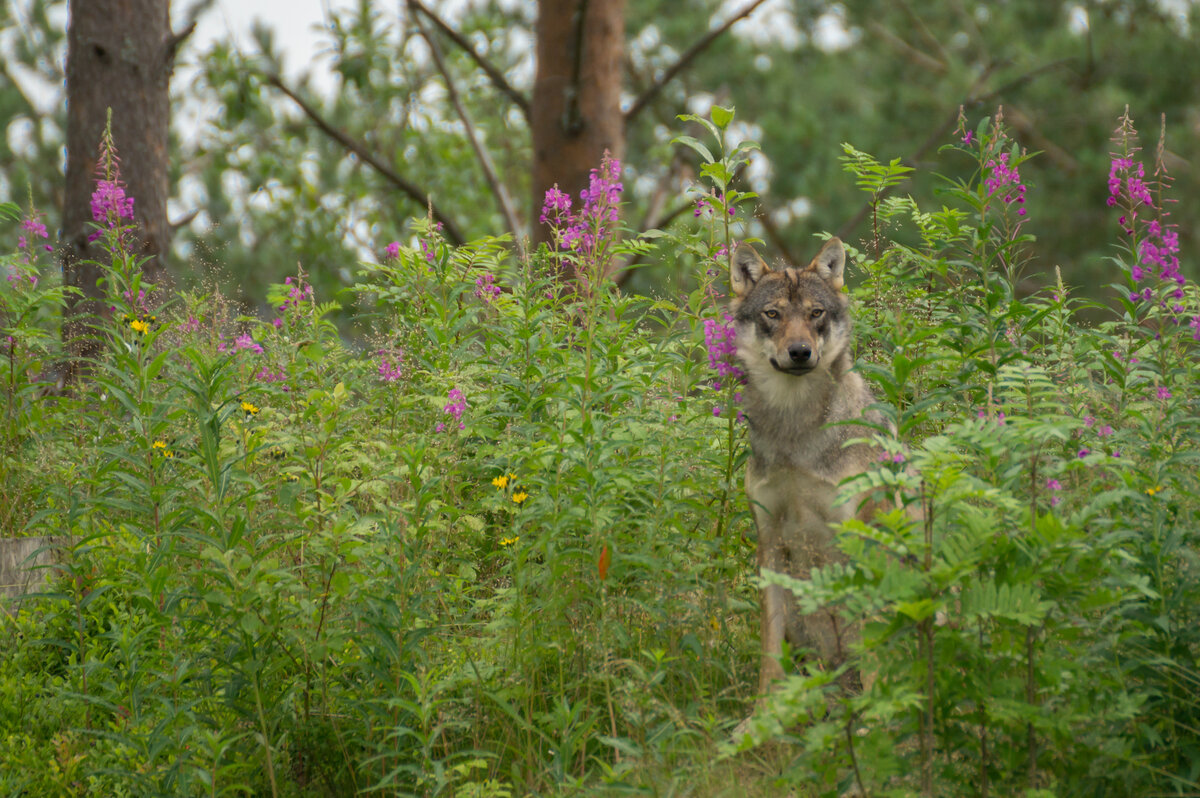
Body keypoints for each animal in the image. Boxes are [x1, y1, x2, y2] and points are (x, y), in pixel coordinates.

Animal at [720, 237, 883, 696]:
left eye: (815, 313)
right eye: (773, 314)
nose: (799, 352)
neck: (794, 430)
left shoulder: (857, 537)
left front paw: (878, 711)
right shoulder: (770, 541)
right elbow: (769, 649)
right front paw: (765, 707)